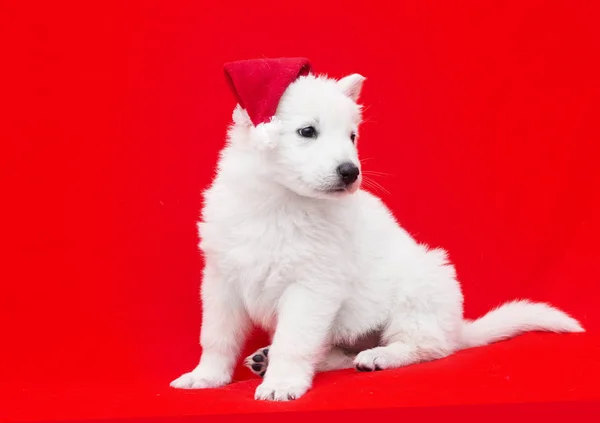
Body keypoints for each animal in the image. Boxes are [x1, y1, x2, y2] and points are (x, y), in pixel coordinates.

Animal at [171, 71, 584, 402]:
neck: (278, 203)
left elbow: (294, 340)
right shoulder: (221, 279)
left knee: (430, 347)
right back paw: (268, 358)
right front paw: (206, 377)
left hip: (419, 291)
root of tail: (458, 328)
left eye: (352, 136)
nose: (350, 171)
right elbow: (216, 336)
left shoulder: (311, 287)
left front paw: (282, 382)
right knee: (337, 353)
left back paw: (381, 356)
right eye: (308, 131)